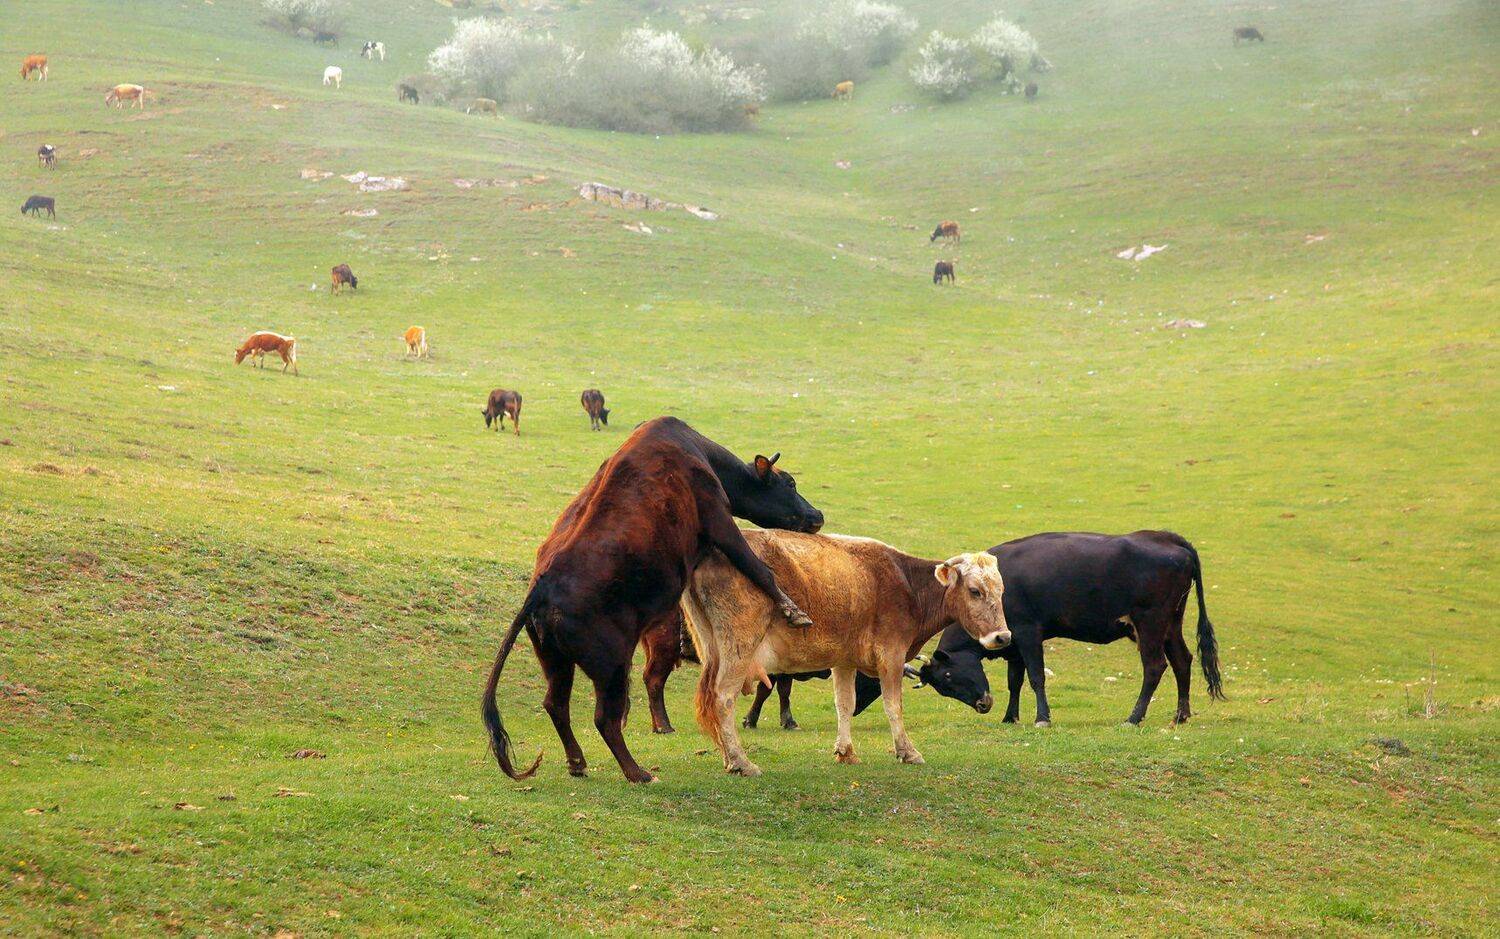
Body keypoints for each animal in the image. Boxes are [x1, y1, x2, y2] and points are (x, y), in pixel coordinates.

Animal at [481, 416, 825, 783]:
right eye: (789, 483)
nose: (817, 514)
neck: (698, 452)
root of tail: (539, 591)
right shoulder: (719, 520)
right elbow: (759, 569)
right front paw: (793, 610)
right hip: (612, 665)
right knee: (605, 717)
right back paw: (637, 772)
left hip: (556, 660)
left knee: (556, 705)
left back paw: (577, 762)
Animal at [684, 533, 1010, 775]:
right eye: (975, 591)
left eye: (1001, 591)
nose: (1002, 637)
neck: (907, 584)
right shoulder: (891, 655)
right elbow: (893, 705)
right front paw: (907, 751)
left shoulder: (844, 660)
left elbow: (844, 704)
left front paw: (845, 751)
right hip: (739, 648)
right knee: (723, 699)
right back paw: (741, 761)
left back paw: (729, 758)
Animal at [907, 531, 1223, 727]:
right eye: (943, 688)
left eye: (949, 676)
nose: (983, 705)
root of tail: (1166, 538)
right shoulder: (1014, 645)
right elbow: (1014, 681)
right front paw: (1010, 717)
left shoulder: (1028, 633)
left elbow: (1036, 677)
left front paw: (1042, 718)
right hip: (1171, 623)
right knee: (1182, 661)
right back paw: (1180, 716)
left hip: (1150, 623)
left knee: (1155, 666)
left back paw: (1134, 718)